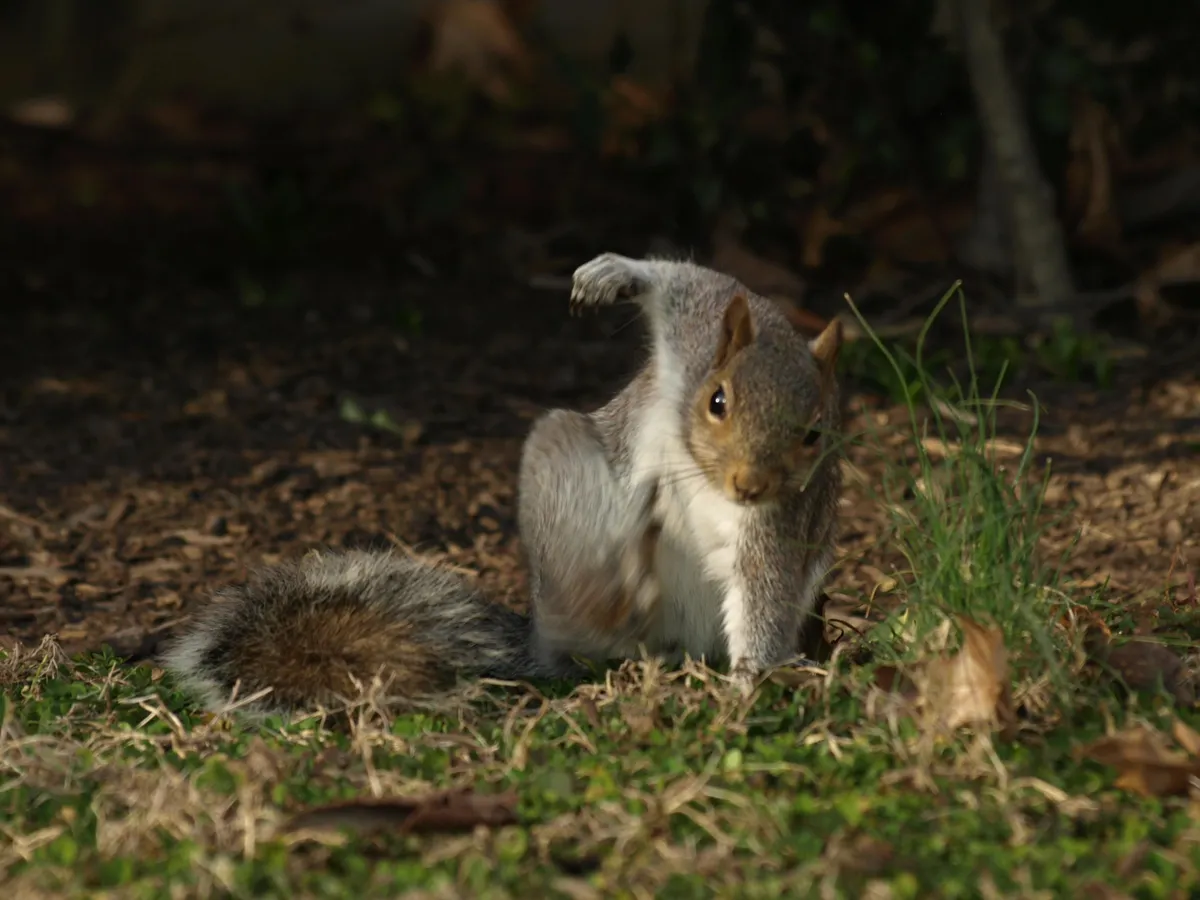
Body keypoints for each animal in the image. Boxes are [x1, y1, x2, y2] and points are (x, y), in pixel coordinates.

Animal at [161, 253, 843, 716]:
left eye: (816, 432)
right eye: (717, 401)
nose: (750, 484)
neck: (704, 472)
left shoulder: (780, 522)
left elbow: (765, 591)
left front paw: (753, 678)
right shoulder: (696, 331)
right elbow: (686, 282)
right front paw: (614, 274)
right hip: (560, 468)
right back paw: (610, 595)